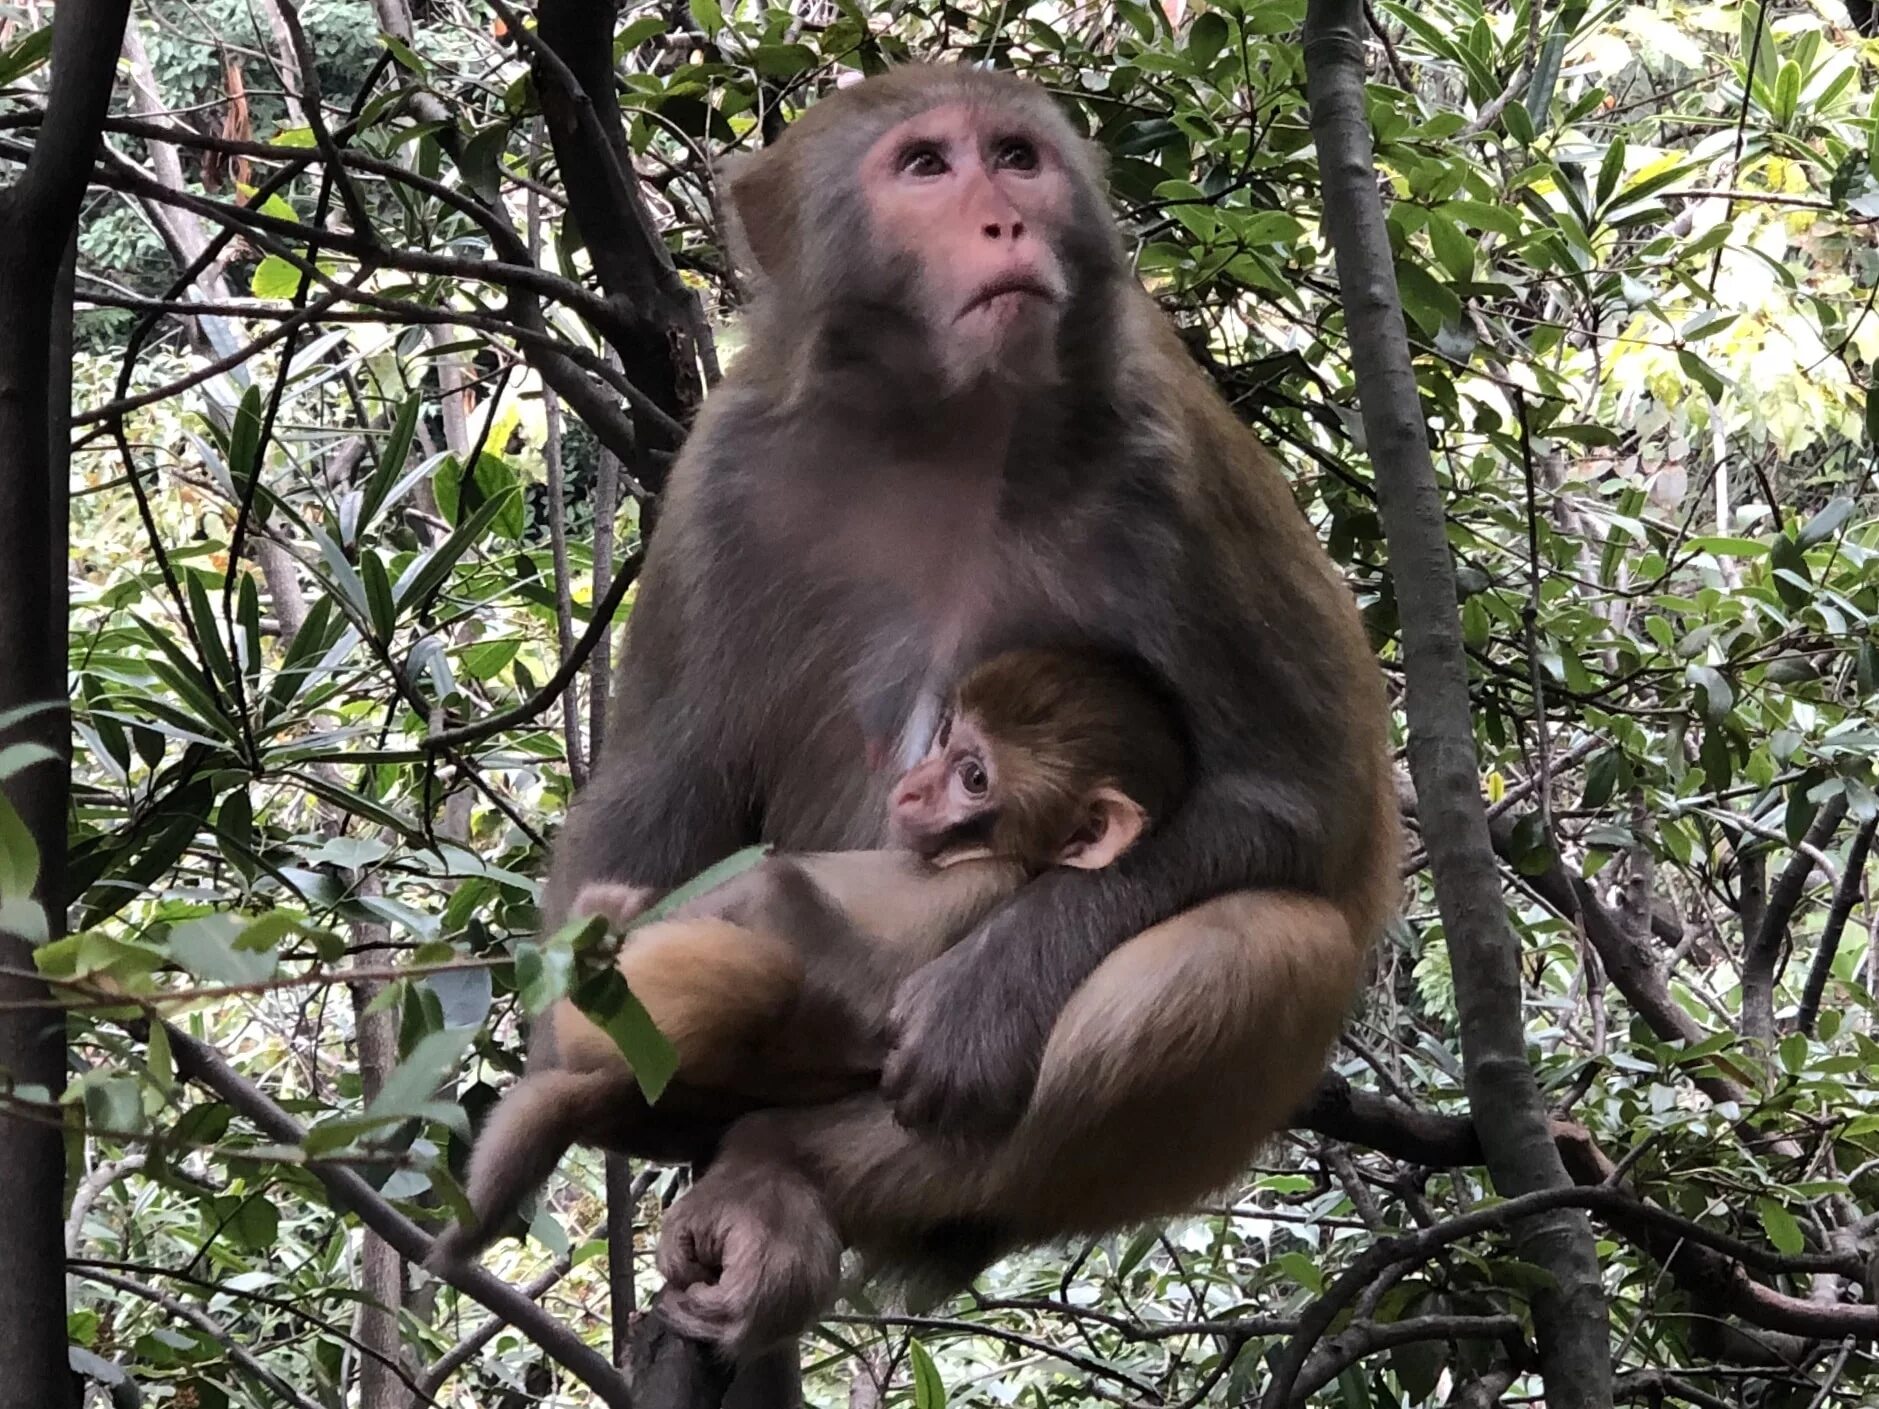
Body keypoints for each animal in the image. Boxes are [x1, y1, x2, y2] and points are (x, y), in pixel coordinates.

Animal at [529, 63, 1397, 1360]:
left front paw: (988, 994)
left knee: (1262, 943)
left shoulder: (1170, 461)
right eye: (927, 166)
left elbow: (1301, 799)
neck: (946, 416)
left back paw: (785, 1172)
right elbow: (664, 778)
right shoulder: (723, 466)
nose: (1005, 222)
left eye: (1017, 158)